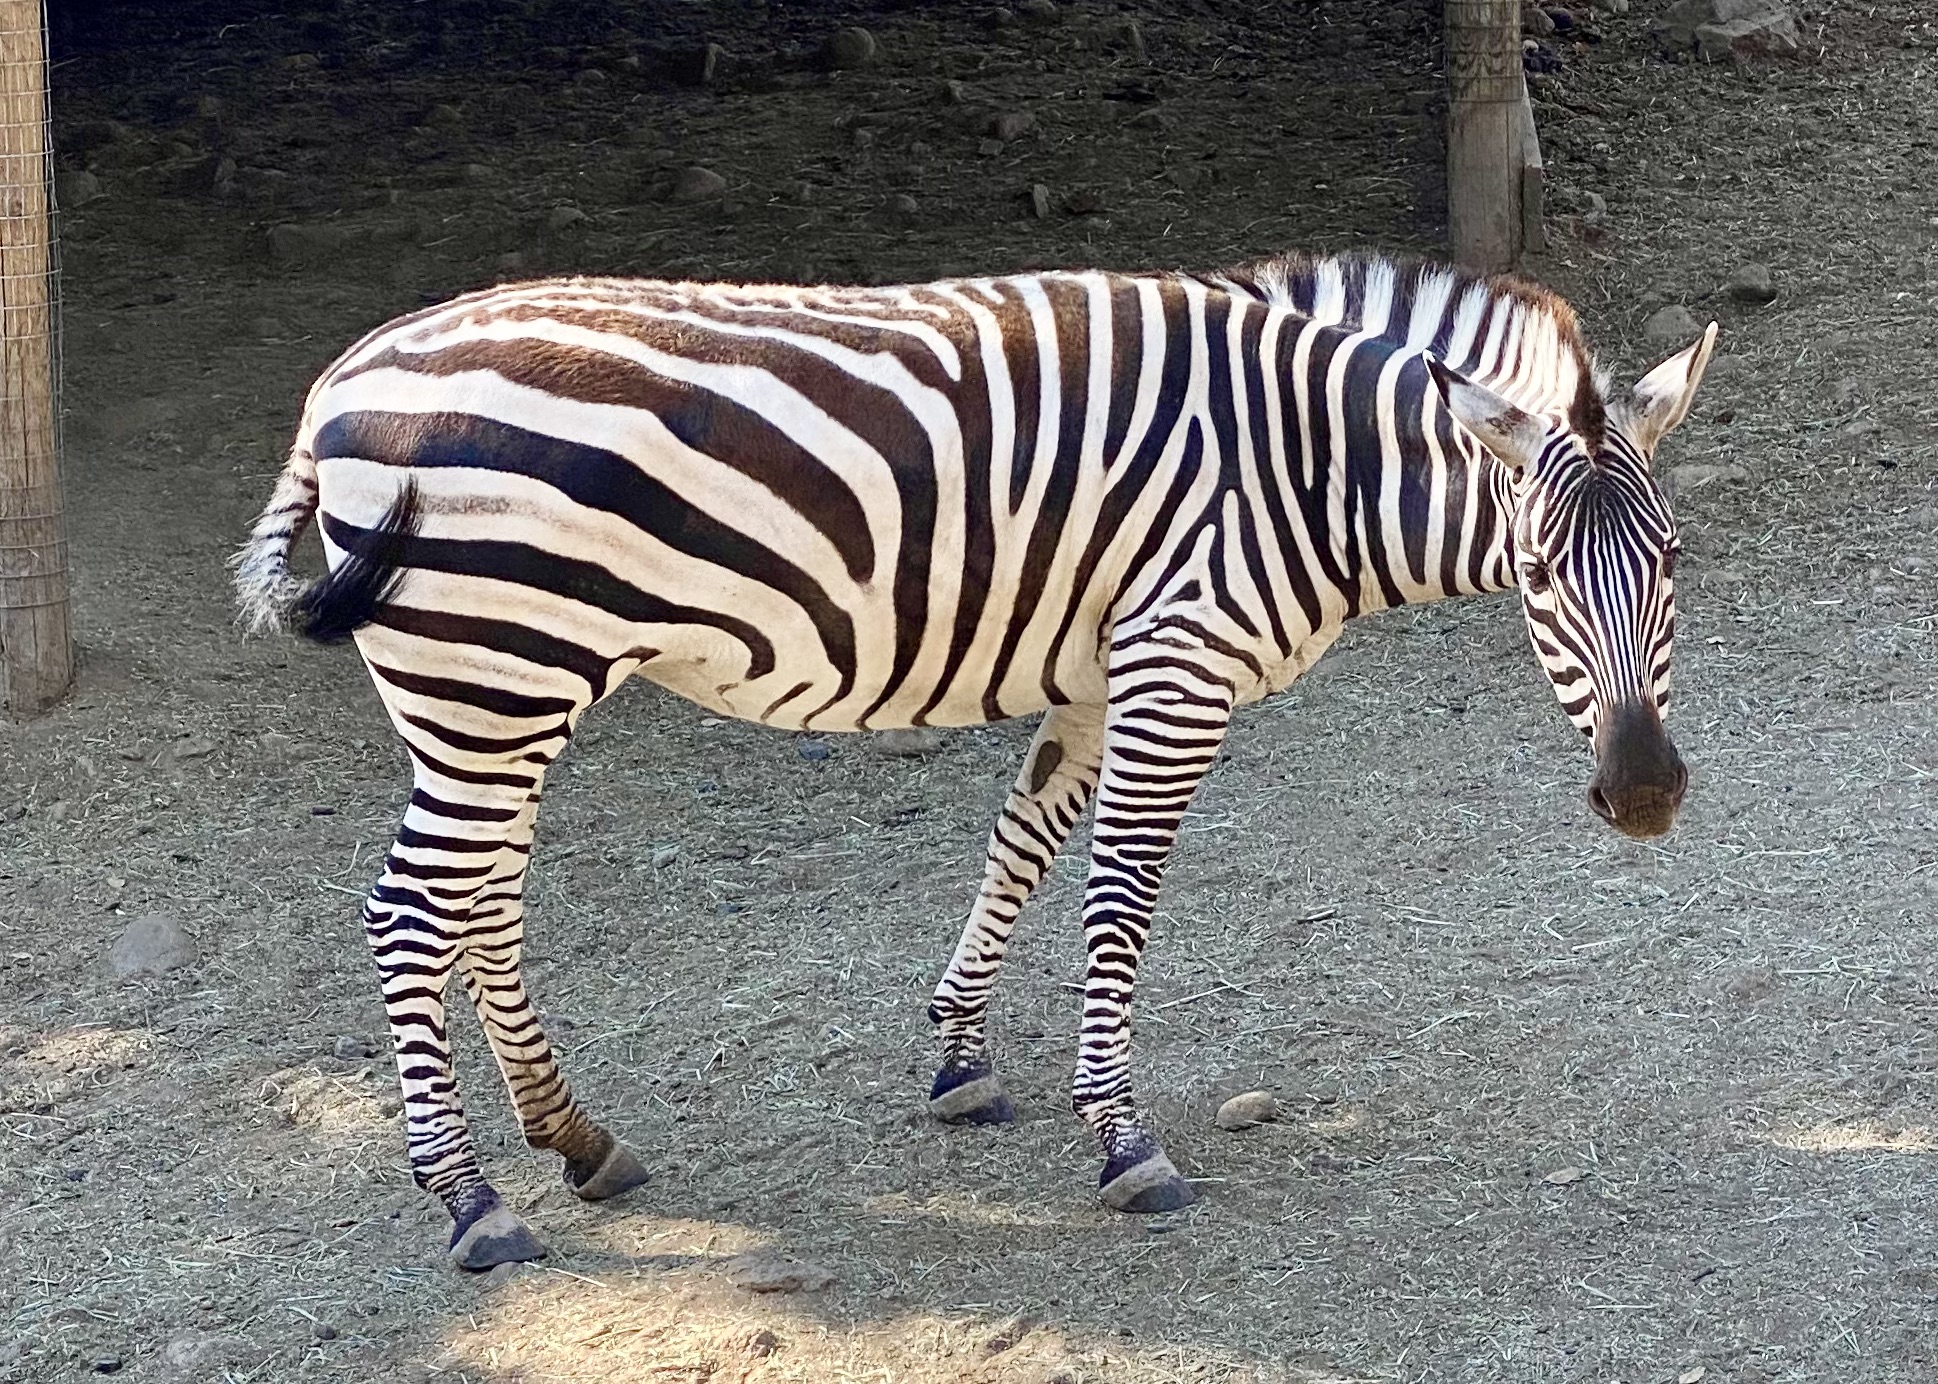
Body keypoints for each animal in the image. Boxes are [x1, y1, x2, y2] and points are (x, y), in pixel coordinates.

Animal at [238, 248, 1713, 1263]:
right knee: (409, 912)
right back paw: (472, 1199)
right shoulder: (1177, 662)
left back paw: (577, 1138)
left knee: (478, 899)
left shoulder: (1098, 667)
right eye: (1538, 572)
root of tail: (334, 386)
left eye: (1675, 560)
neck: (1298, 471)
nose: (1645, 794)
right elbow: (1120, 891)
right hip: (494, 670)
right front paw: (1121, 1136)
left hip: (494, 686)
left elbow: (1025, 840)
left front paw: (960, 1057)